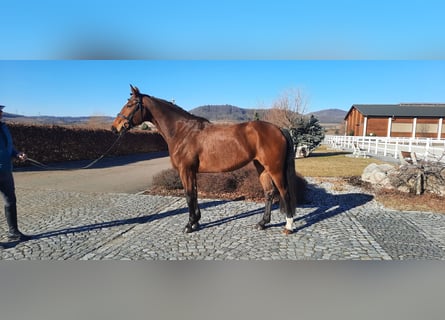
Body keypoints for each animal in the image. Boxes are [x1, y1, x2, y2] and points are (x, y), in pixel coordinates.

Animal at [111, 85, 298, 235]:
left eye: (130, 104)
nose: (114, 127)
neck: (183, 131)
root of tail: (279, 129)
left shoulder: (185, 170)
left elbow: (188, 196)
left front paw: (189, 225)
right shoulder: (192, 172)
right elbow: (194, 194)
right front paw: (196, 222)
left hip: (274, 169)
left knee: (285, 192)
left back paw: (288, 227)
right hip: (261, 167)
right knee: (269, 193)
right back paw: (262, 223)